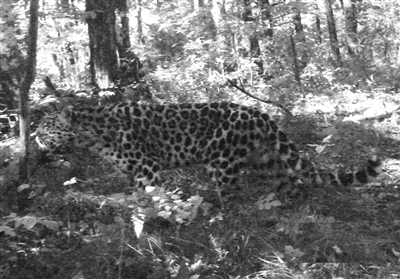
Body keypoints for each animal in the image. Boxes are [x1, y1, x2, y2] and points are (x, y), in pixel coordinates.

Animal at [34, 102, 382, 197]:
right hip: (265, 159)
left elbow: (154, 196)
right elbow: (137, 196)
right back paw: (285, 209)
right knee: (291, 180)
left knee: (231, 195)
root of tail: (262, 114)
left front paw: (159, 226)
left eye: (46, 126)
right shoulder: (132, 171)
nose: (34, 136)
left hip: (222, 161)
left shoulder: (147, 167)